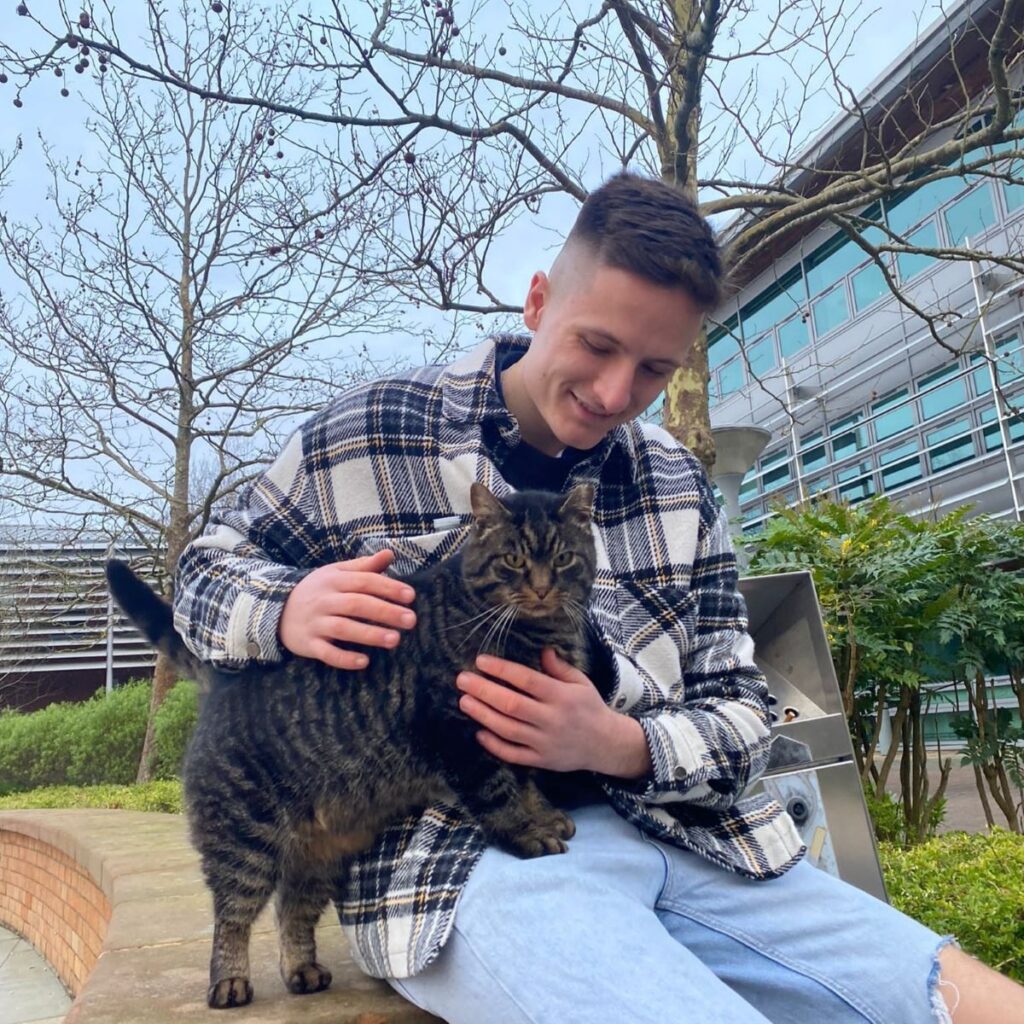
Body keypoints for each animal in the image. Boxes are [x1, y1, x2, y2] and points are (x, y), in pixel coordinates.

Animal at [102, 481, 598, 1007]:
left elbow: (526, 781)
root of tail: (222, 679)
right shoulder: (460, 734)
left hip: (320, 854)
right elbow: (499, 795)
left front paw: (544, 815)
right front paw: (527, 834)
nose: (542, 587)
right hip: (243, 838)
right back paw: (229, 980)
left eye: (563, 558)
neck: (537, 634)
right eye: (514, 560)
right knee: (232, 914)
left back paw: (301, 969)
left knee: (292, 909)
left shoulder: (517, 731)